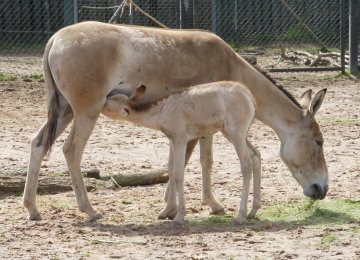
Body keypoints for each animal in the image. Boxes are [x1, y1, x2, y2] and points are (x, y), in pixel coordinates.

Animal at [102, 82, 258, 225]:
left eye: (108, 103)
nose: (103, 99)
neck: (163, 110)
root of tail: (248, 95)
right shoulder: (172, 140)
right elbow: (170, 170)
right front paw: (168, 211)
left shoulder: (180, 139)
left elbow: (178, 173)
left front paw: (179, 216)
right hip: (231, 134)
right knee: (256, 155)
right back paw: (253, 211)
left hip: (236, 134)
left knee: (246, 164)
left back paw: (240, 216)